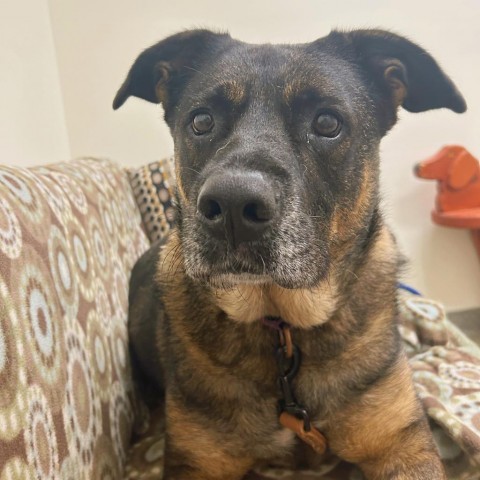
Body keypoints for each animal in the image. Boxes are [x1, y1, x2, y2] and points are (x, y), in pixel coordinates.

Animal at [112, 30, 464, 480]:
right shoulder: (194, 463)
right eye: (202, 121)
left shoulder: (401, 442)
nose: (232, 206)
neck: (283, 328)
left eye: (327, 123)